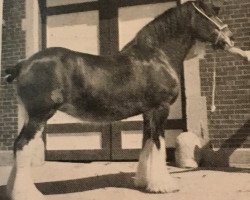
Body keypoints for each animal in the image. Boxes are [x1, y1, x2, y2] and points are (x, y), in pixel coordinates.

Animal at [4, 0, 234, 200]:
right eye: (212, 12)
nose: (230, 38)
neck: (157, 57)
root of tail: (22, 65)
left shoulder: (148, 112)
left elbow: (147, 144)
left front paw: (144, 181)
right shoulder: (160, 109)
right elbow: (158, 145)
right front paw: (163, 185)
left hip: (29, 116)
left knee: (17, 145)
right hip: (39, 115)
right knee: (23, 146)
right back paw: (27, 193)